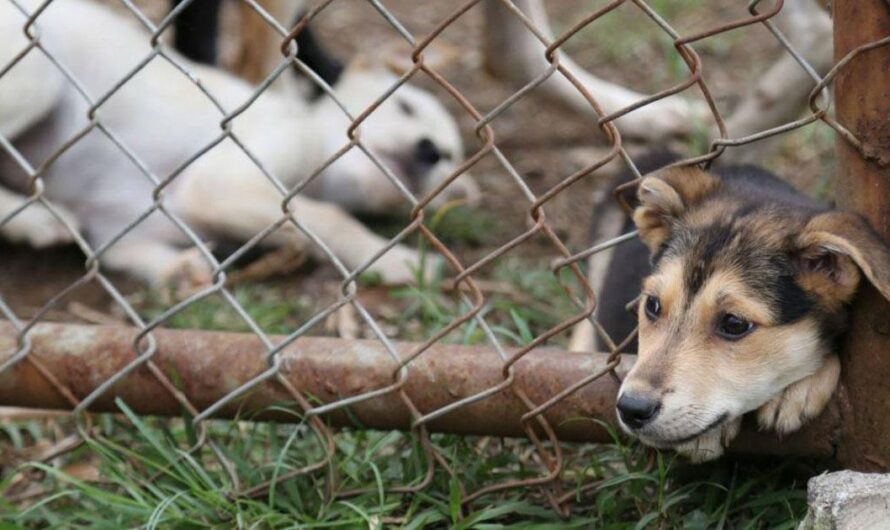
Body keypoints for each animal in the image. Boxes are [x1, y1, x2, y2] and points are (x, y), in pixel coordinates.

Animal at [0, 0, 476, 286]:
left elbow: (135, 255)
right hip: (38, 77)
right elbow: (331, 219)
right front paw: (395, 259)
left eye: (450, 157)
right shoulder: (221, 184)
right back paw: (38, 219)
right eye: (406, 107)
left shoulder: (122, 235)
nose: (429, 149)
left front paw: (182, 272)